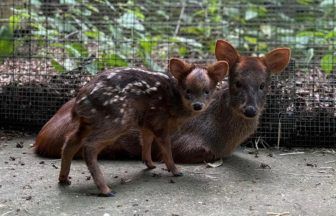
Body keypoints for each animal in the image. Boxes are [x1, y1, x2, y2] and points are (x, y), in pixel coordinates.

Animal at [34, 40, 292, 164]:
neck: (222, 139)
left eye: (263, 85)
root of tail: (40, 138)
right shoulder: (184, 143)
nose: (250, 109)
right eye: (237, 82)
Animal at [57, 58, 228, 197]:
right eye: (188, 90)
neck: (175, 102)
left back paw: (64, 179)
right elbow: (166, 148)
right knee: (89, 146)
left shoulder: (147, 122)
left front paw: (150, 164)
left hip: (90, 122)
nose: (197, 105)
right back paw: (106, 190)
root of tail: (79, 103)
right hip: (117, 120)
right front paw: (175, 171)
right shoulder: (159, 121)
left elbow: (146, 141)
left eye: (207, 91)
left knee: (71, 141)